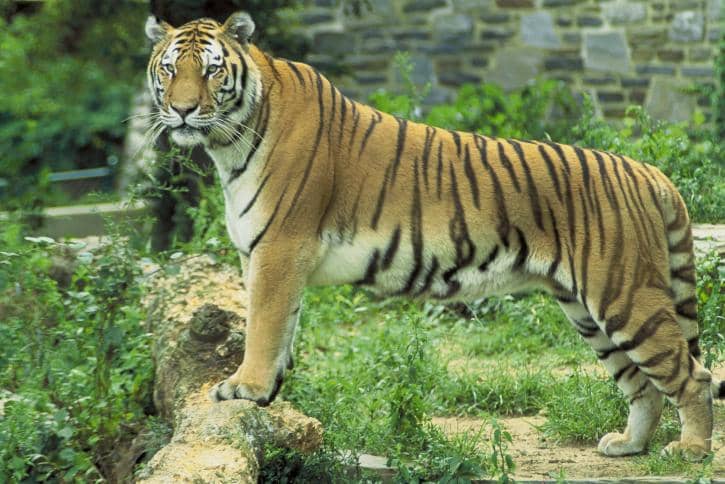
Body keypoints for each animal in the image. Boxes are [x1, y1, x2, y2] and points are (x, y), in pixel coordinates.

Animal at [144, 11, 723, 459]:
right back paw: (628, 445)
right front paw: (268, 394)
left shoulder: (279, 249)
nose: (183, 109)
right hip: (587, 310)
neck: (230, 143)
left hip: (625, 295)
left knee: (692, 375)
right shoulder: (267, 256)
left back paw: (690, 450)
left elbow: (263, 326)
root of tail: (647, 171)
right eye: (170, 69)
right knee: (643, 385)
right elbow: (282, 327)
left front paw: (245, 387)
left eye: (212, 70)